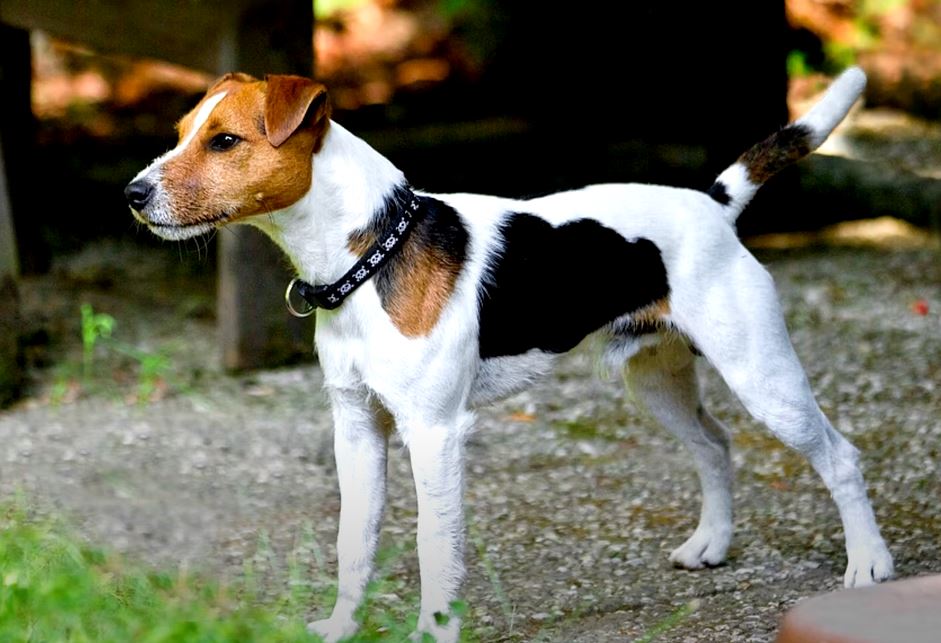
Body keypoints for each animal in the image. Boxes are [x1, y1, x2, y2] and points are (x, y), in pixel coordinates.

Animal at [126, 68, 896, 640]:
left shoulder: (434, 433)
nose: (132, 193)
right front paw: (342, 628)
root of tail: (713, 203)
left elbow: (435, 549)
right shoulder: (356, 426)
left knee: (839, 456)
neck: (374, 253)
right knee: (714, 444)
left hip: (763, 377)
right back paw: (711, 545)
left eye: (224, 140)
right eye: (181, 134)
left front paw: (433, 632)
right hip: (655, 382)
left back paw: (869, 565)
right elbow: (354, 543)